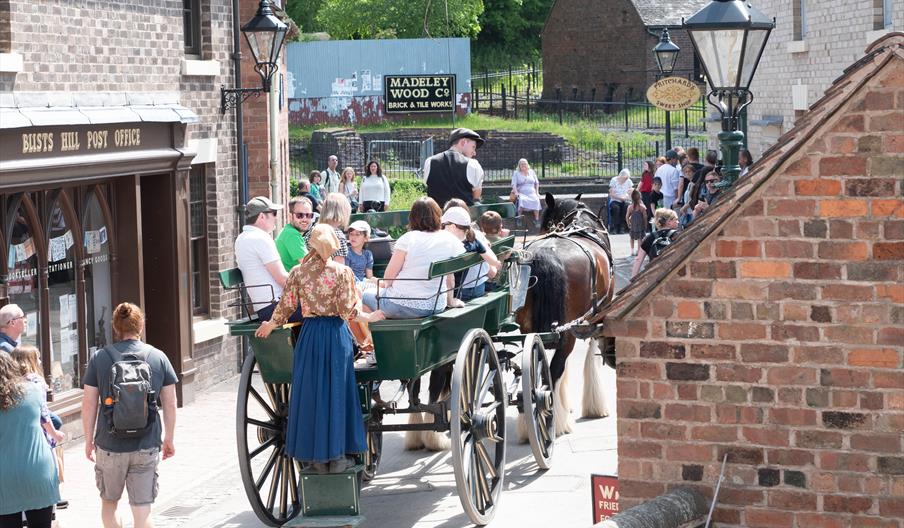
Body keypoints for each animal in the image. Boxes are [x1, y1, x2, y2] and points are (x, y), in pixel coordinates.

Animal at [516, 193, 616, 434]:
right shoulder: (594, 317)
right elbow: (590, 355)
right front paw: (594, 406)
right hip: (569, 330)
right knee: (554, 370)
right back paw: (556, 422)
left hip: (529, 330)